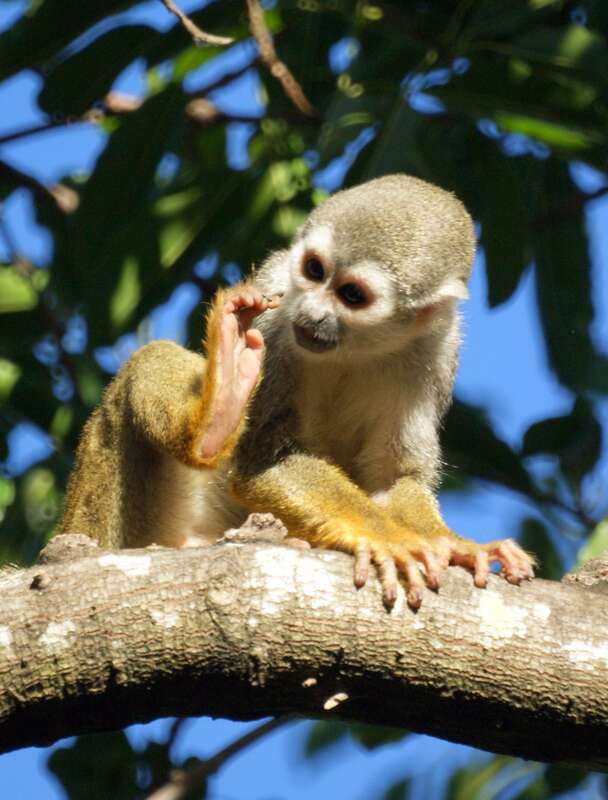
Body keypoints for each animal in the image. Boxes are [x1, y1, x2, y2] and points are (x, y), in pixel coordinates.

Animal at [59, 174, 534, 609]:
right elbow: (262, 462)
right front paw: (387, 535)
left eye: (351, 294)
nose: (311, 313)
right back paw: (216, 418)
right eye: (314, 270)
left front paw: (455, 544)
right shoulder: (275, 303)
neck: (356, 345)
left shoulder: (437, 349)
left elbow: (395, 477)